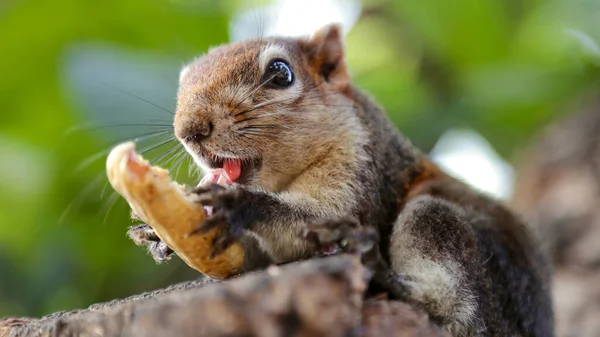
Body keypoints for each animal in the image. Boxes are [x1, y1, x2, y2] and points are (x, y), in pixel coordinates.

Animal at [125, 24, 552, 336]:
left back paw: (385, 274)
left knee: (460, 311)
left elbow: (318, 221)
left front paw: (241, 206)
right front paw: (158, 234)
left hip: (445, 230)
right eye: (182, 84)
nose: (189, 129)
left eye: (280, 73)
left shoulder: (359, 169)